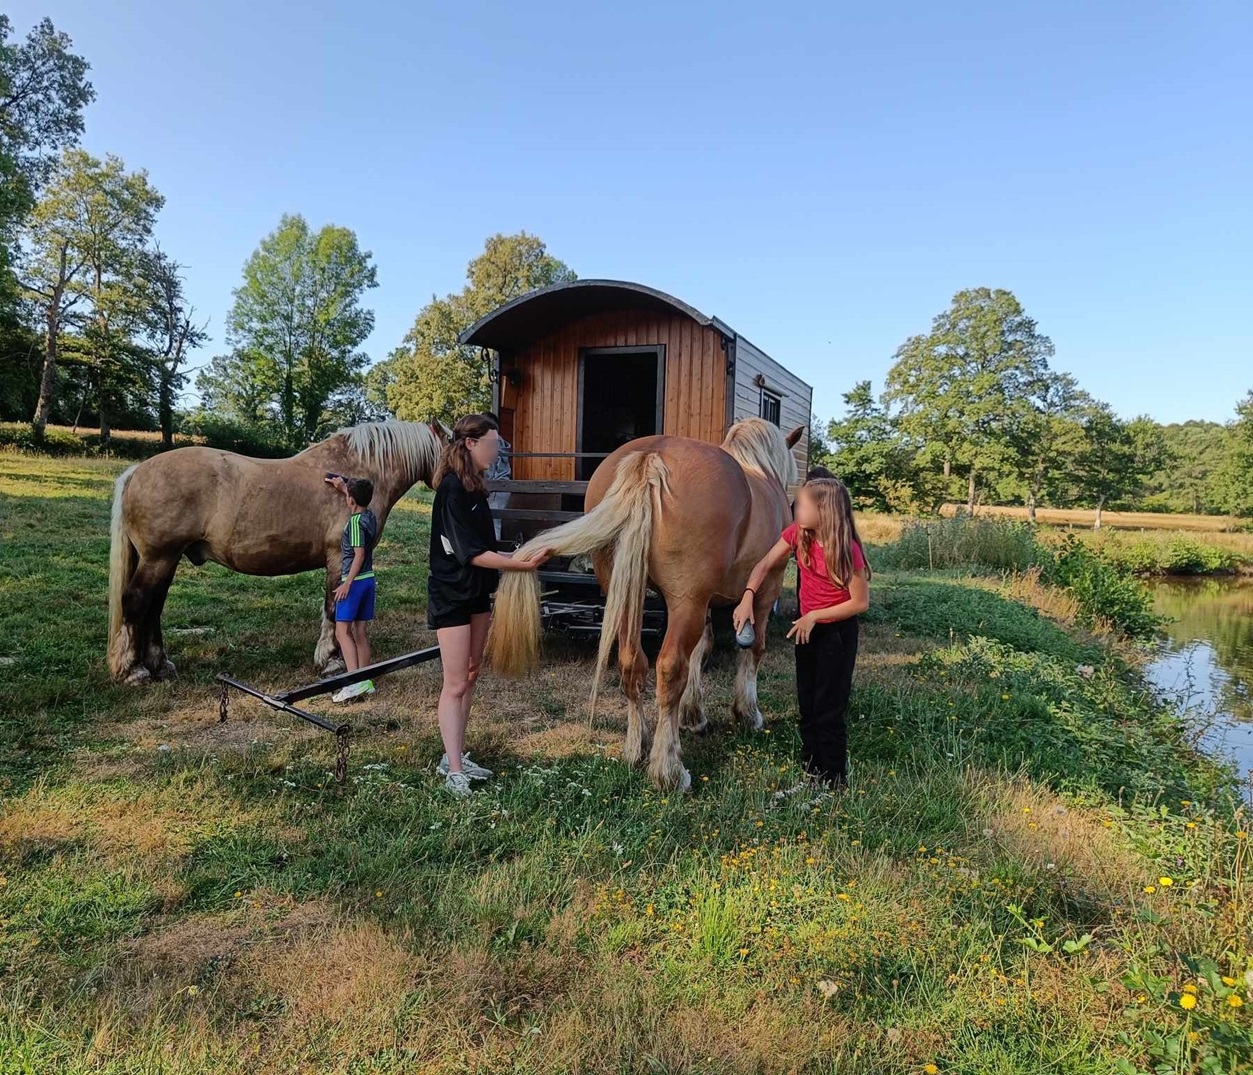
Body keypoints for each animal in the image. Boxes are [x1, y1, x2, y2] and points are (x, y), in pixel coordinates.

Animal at [107, 420, 444, 684]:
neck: (356, 471)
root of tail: (137, 471)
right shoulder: (339, 558)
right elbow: (333, 607)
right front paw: (332, 660)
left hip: (166, 560)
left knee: (153, 607)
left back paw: (159, 665)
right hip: (159, 558)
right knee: (137, 602)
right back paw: (134, 670)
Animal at [488, 417, 803, 791]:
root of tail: (651, 457)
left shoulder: (706, 604)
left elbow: (702, 650)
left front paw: (694, 716)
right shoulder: (763, 592)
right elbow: (751, 650)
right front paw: (747, 713)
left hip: (628, 592)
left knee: (631, 664)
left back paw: (637, 749)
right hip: (684, 600)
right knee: (668, 668)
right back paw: (669, 770)